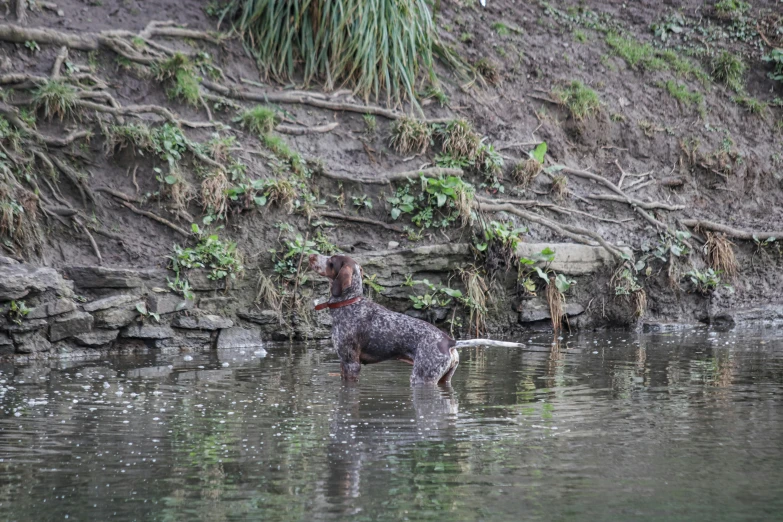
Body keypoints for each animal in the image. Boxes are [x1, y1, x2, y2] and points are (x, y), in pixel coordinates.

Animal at [310, 254, 462, 384]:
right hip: (443, 379)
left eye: (331, 260)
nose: (311, 256)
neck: (349, 302)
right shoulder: (343, 364)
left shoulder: (351, 363)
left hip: (421, 377)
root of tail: (449, 341)